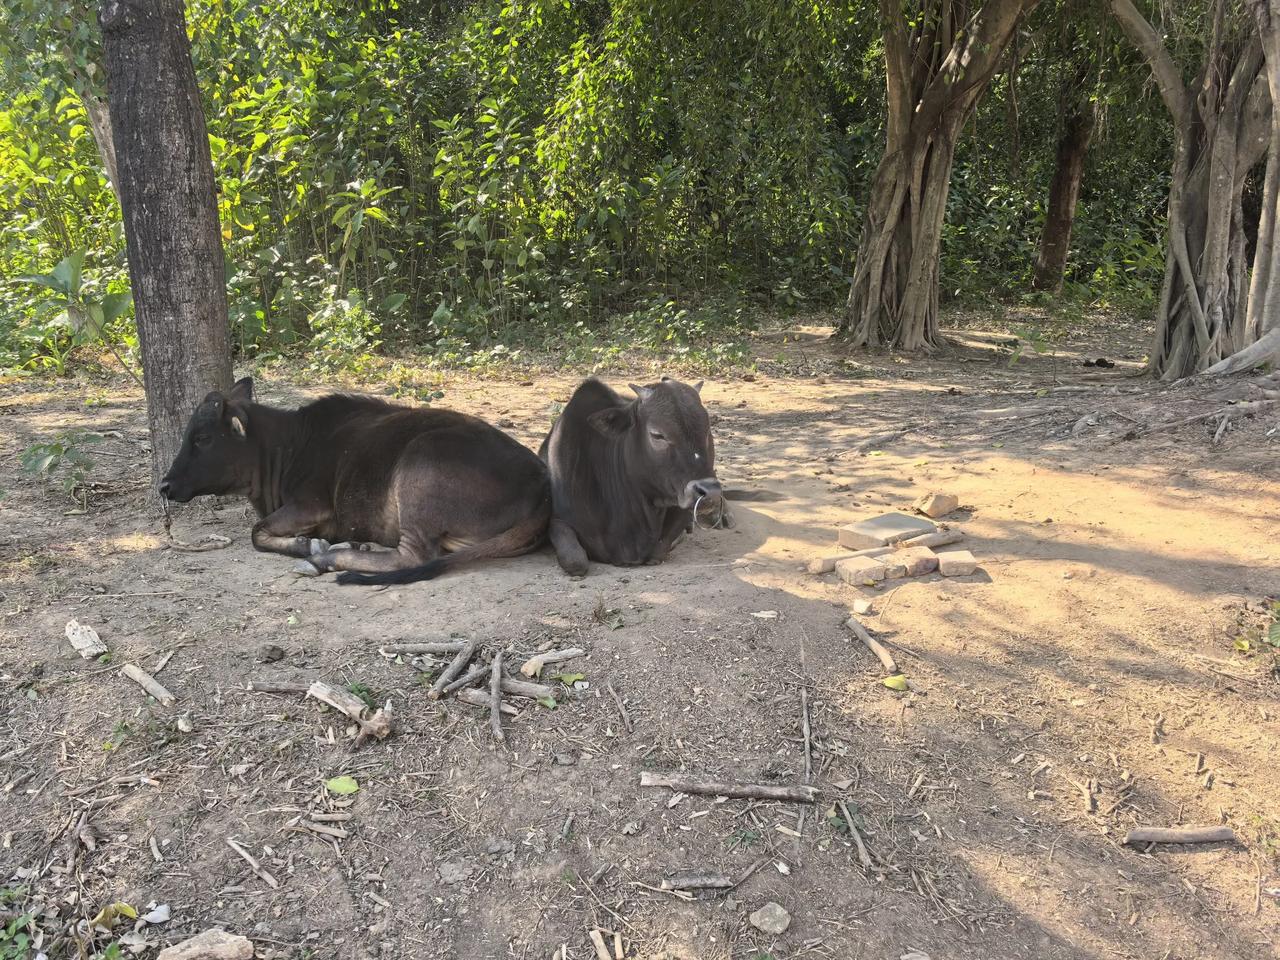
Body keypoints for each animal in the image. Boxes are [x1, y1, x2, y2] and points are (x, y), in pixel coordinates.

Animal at [161, 378, 550, 583]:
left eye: (202, 438)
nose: (164, 485)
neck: (287, 447)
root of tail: (542, 485)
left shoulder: (312, 505)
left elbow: (257, 532)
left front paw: (308, 547)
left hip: (418, 473)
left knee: (414, 558)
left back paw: (328, 559)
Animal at [535, 376, 732, 576]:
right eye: (657, 435)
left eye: (707, 432)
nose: (710, 492)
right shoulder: (558, 521)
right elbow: (575, 561)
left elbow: (660, 549)